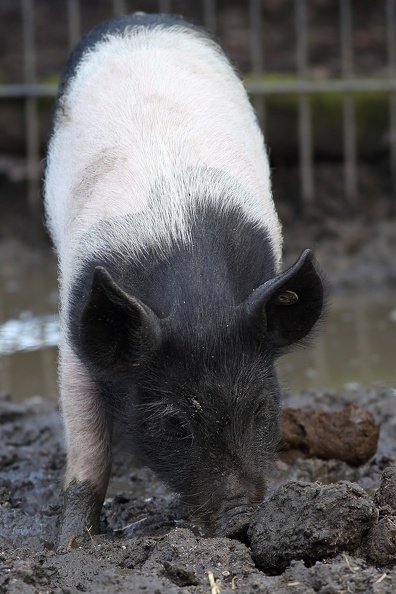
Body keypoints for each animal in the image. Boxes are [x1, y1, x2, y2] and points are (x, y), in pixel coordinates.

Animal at [43, 10, 324, 544]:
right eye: (175, 424)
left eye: (260, 409)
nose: (239, 521)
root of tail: (139, 19)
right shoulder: (73, 330)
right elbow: (87, 448)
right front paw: (72, 545)